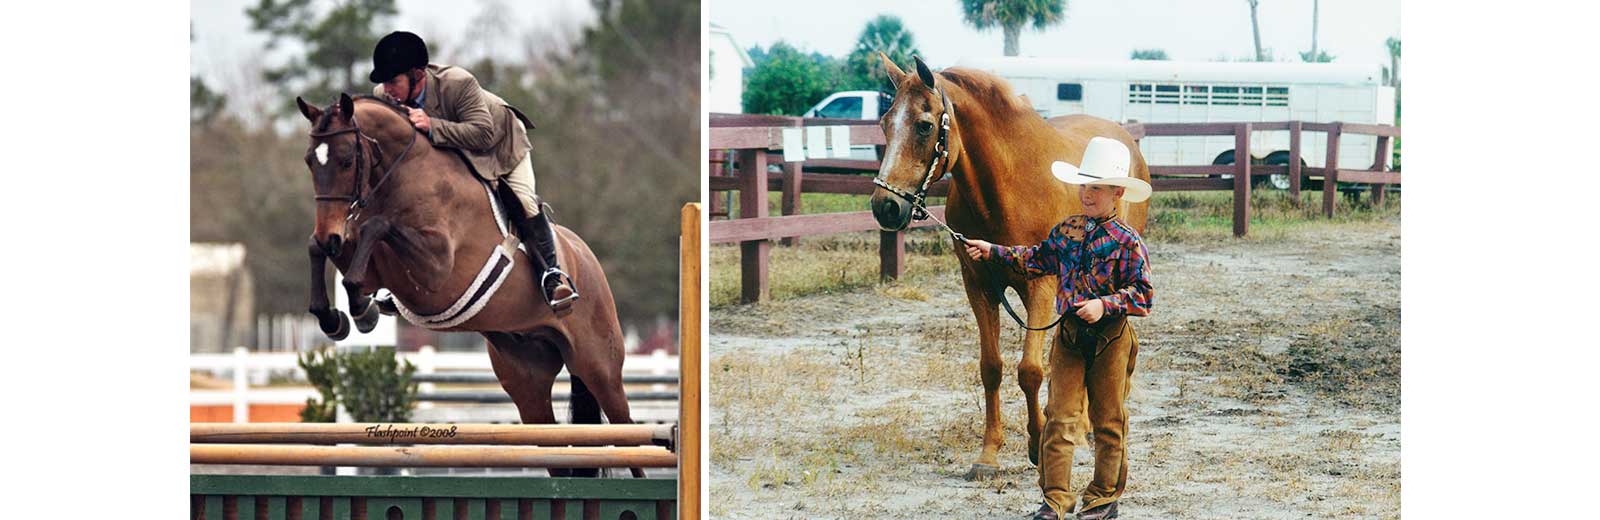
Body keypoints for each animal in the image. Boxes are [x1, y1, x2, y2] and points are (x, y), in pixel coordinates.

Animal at [295, 93, 642, 478]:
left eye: (345, 160)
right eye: (310, 162)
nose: (330, 236)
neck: (405, 174)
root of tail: (587, 259)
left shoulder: (435, 271)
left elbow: (377, 227)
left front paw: (358, 307)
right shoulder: (377, 262)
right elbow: (326, 246)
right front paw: (338, 315)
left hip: (599, 368)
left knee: (627, 432)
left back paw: (557, 287)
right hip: (527, 379)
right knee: (554, 449)